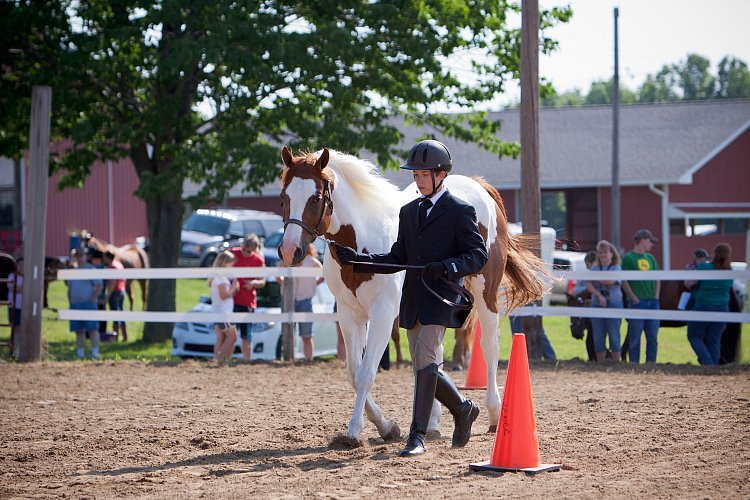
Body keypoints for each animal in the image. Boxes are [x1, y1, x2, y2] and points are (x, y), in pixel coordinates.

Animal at [280, 146, 548, 448]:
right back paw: (433, 422)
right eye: (283, 197)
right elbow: (353, 372)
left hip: (484, 293)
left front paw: (355, 430)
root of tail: (479, 186)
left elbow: (366, 374)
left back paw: (494, 413)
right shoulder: (349, 315)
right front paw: (387, 426)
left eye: (315, 198)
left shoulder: (383, 315)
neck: (362, 241)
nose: (289, 251)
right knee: (432, 356)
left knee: (489, 347)